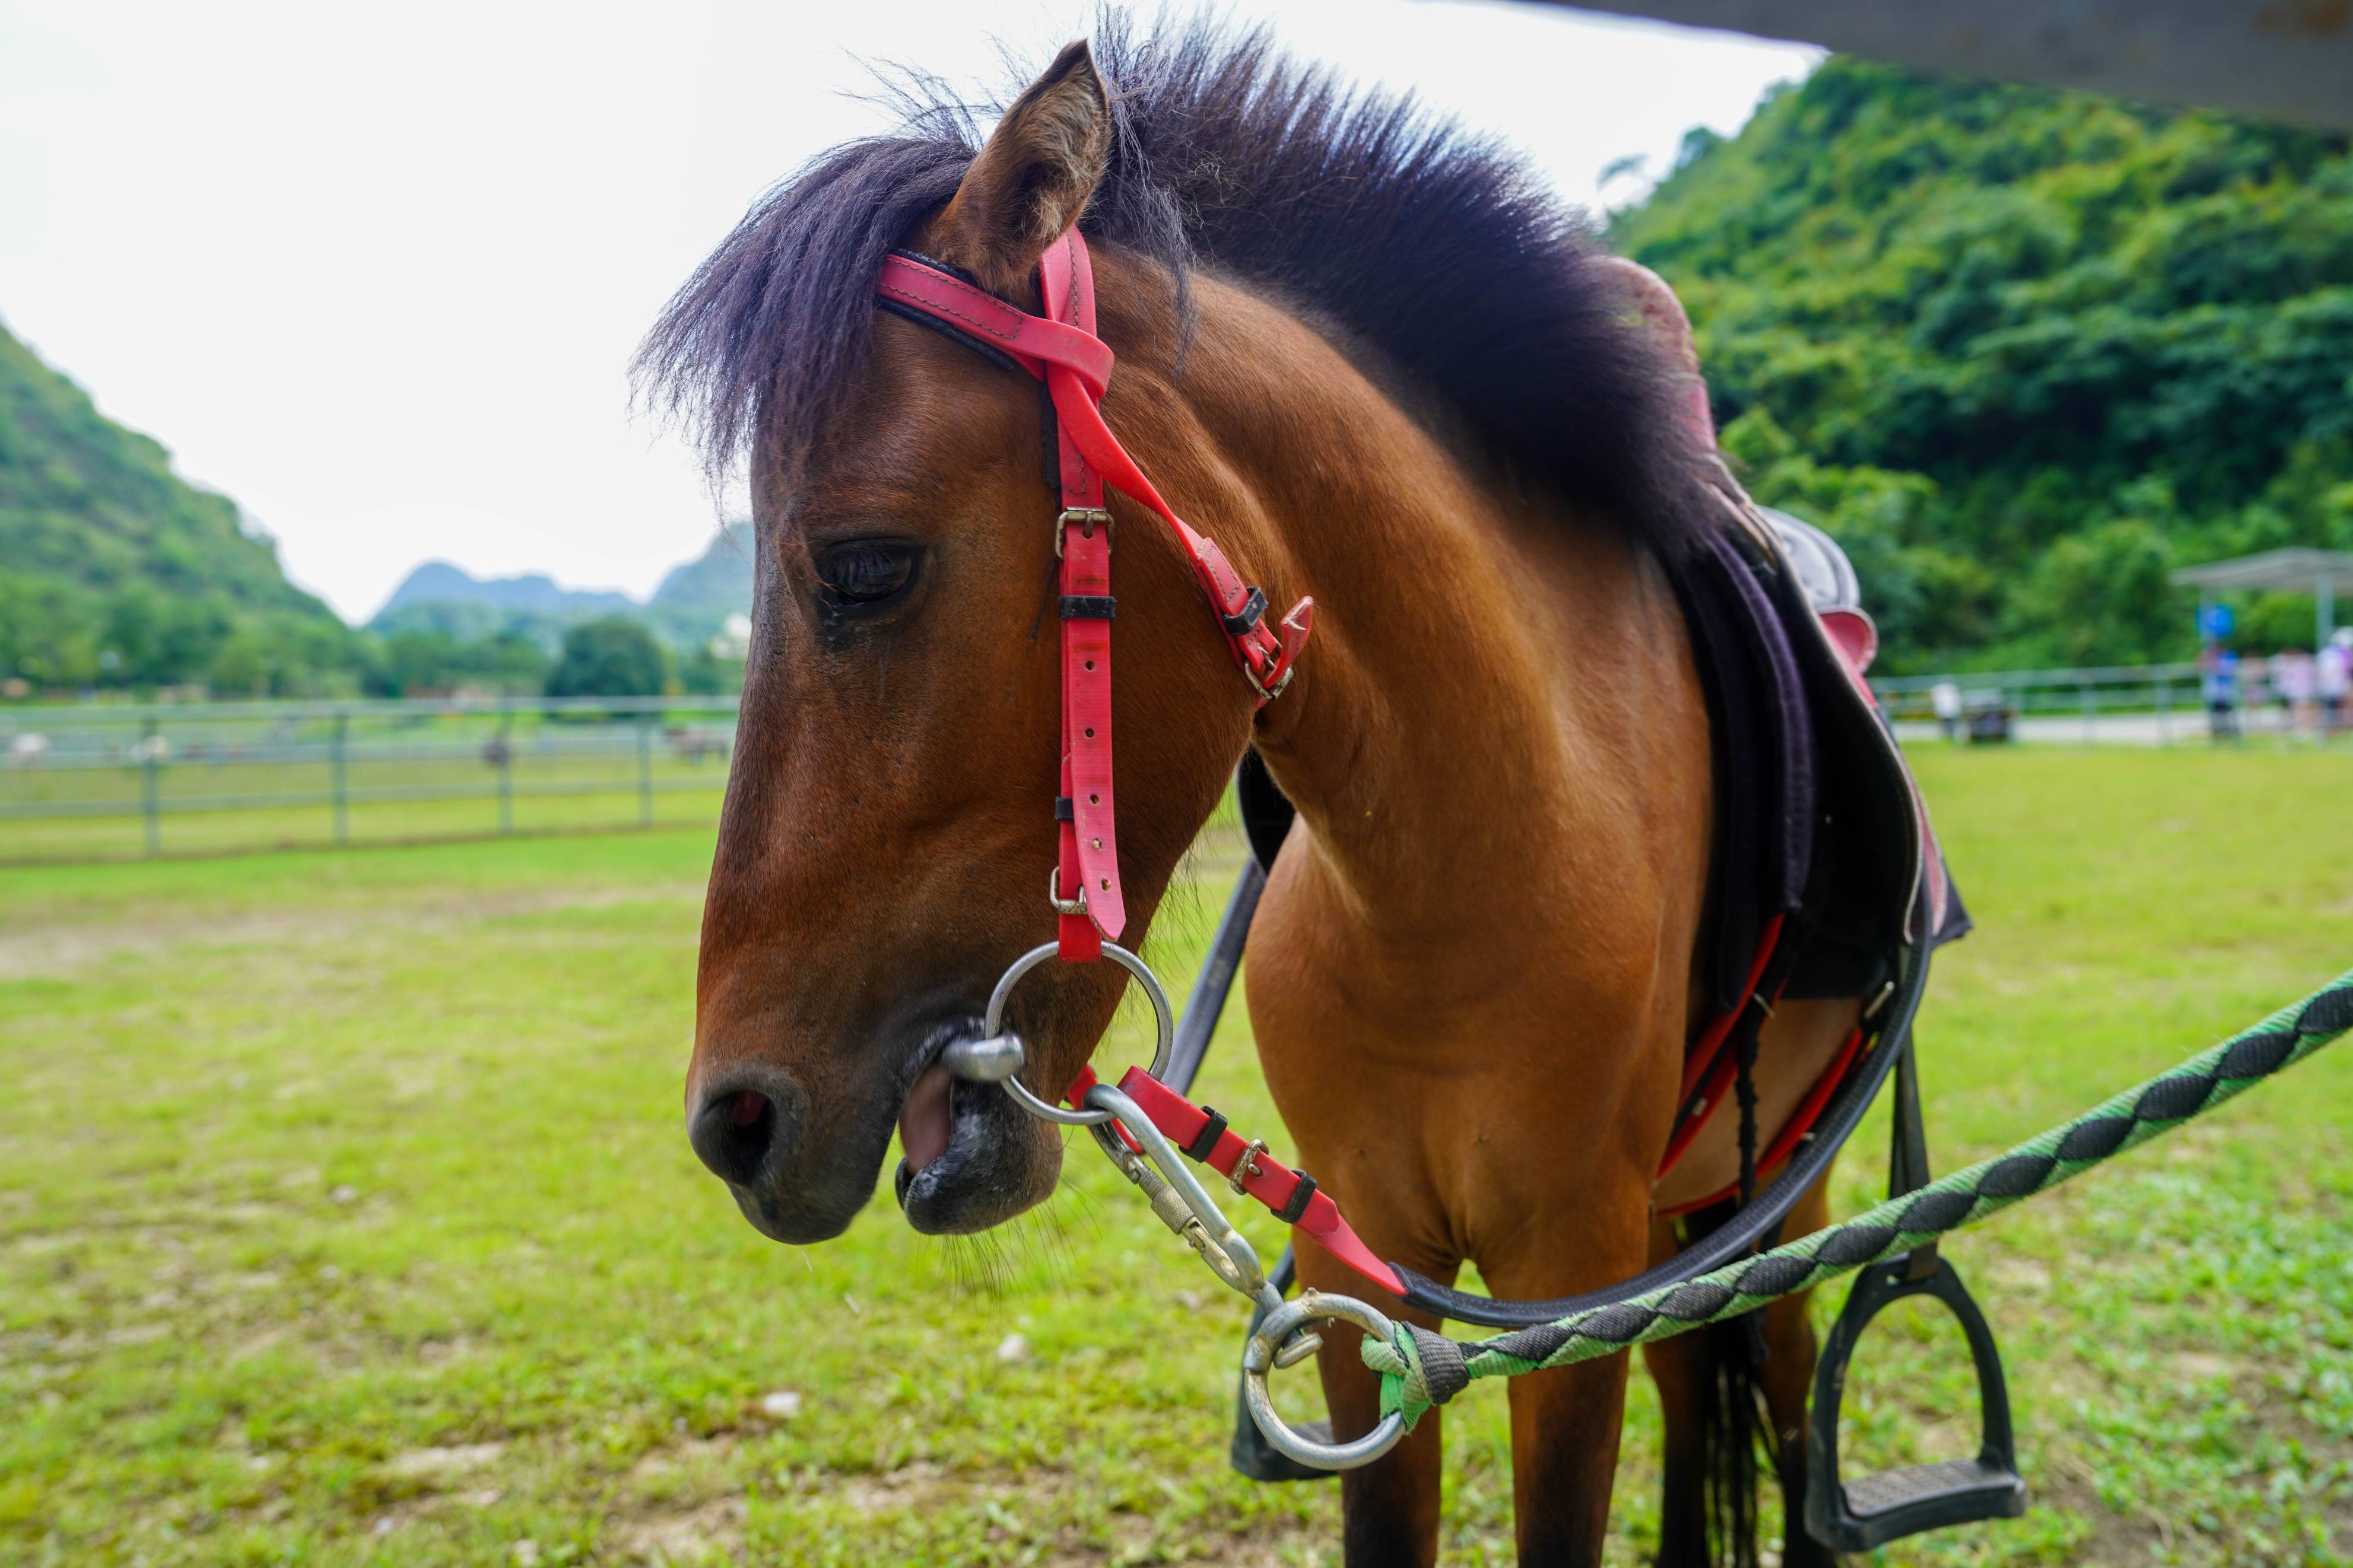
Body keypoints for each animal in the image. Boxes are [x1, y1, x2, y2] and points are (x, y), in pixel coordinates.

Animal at [644, 24, 1873, 1568]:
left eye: (865, 567)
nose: (732, 1121)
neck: (1460, 875)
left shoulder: (1567, 1277)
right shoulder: (1374, 1288)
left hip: (1769, 1206)